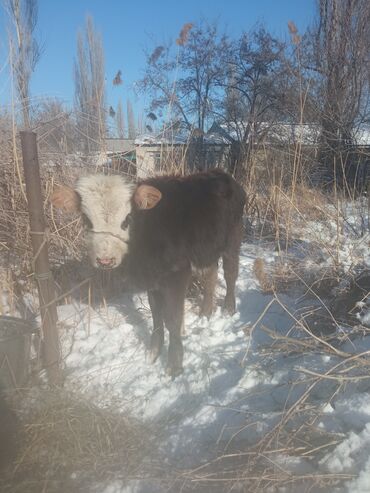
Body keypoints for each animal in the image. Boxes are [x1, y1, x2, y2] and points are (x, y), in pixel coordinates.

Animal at [51, 169, 246, 376]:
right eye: (87, 221)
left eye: (127, 219)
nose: (105, 260)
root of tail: (221, 173)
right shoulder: (151, 280)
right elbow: (156, 316)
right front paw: (153, 353)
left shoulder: (177, 274)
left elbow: (172, 318)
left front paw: (174, 364)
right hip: (207, 249)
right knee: (210, 275)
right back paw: (205, 313)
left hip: (233, 240)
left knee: (230, 273)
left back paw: (229, 308)